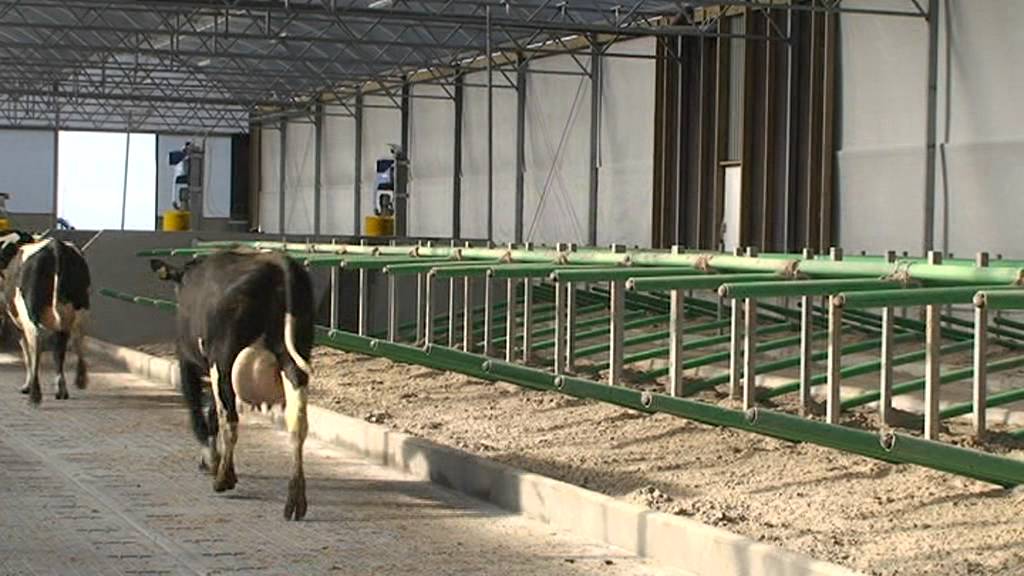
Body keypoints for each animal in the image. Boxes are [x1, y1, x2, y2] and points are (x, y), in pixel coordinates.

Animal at [0, 230, 91, 401]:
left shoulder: (17, 322)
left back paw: (35, 392)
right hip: (80, 308)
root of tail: (55, 247)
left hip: (29, 314)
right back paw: (71, 384)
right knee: (72, 341)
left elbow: (27, 353)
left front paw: (27, 386)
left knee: (37, 342)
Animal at [149, 249, 313, 518]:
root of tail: (275, 260)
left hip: (222, 360)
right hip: (294, 357)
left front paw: (210, 459)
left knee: (230, 419)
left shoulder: (186, 363)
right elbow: (211, 413)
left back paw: (223, 477)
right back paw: (295, 500)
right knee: (297, 424)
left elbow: (199, 413)